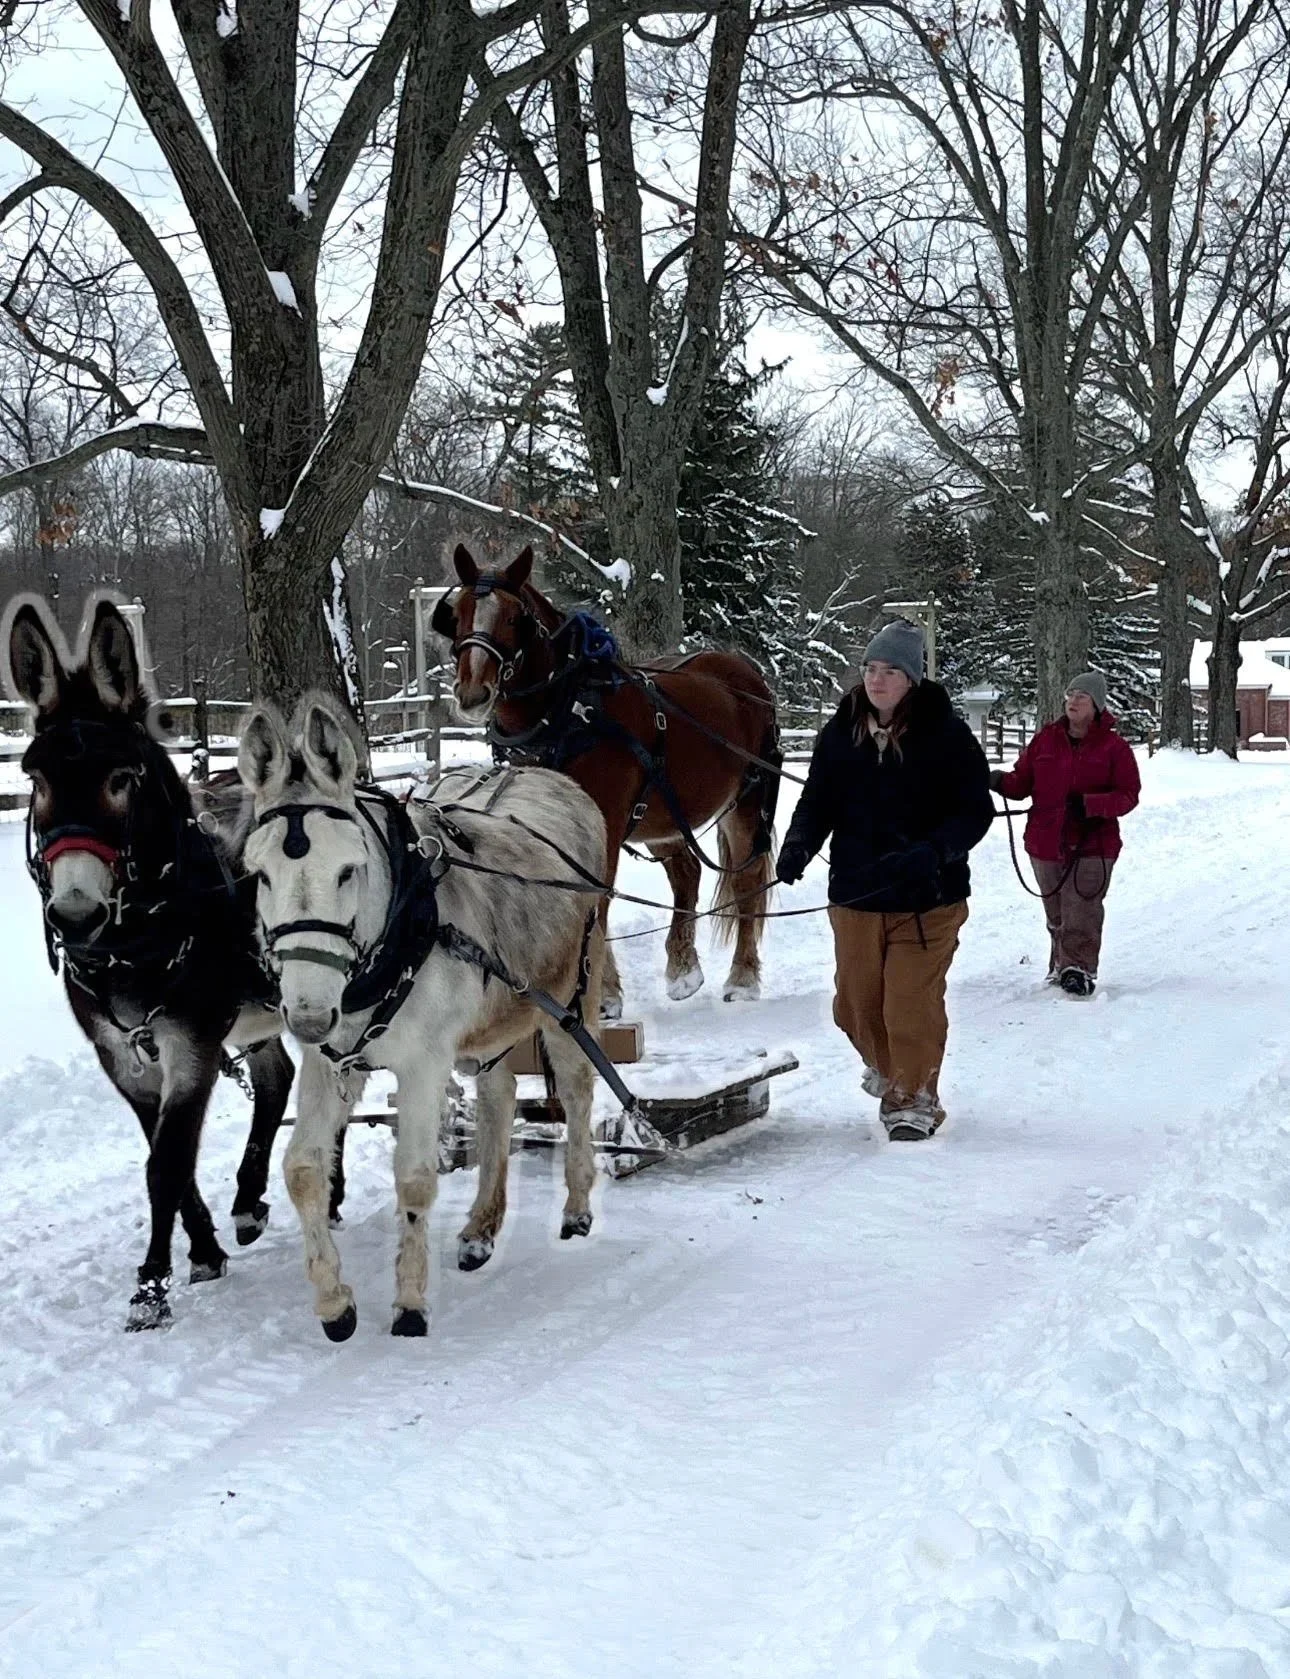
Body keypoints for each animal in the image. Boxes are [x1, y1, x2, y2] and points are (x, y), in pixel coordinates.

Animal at [4, 594, 318, 1331]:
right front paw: (201, 1250)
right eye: (35, 778)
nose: (74, 917)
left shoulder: (191, 1043)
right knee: (278, 1079)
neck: (134, 941)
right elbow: (165, 1158)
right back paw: (247, 1202)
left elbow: (166, 1163)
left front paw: (150, 1285)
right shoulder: (123, 1053)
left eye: (122, 778)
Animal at [238, 692, 609, 1342]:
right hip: (491, 1019)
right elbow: (303, 1169)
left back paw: (576, 1209)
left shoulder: (422, 1063)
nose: (306, 1016)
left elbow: (412, 1177)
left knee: (577, 1090)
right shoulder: (331, 1061)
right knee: (498, 1097)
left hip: (570, 996)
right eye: (260, 875)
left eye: (347, 871)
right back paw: (481, 1229)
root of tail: (545, 776)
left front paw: (410, 1304)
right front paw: (334, 1303)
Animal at [433, 544, 781, 1016]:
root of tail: (743, 670)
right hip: (665, 812)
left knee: (747, 882)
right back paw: (683, 970)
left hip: (746, 803)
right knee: (687, 874)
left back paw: (742, 979)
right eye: (459, 613)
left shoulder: (608, 825)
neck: (568, 711)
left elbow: (597, 899)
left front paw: (601, 994)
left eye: (513, 617)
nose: (473, 694)